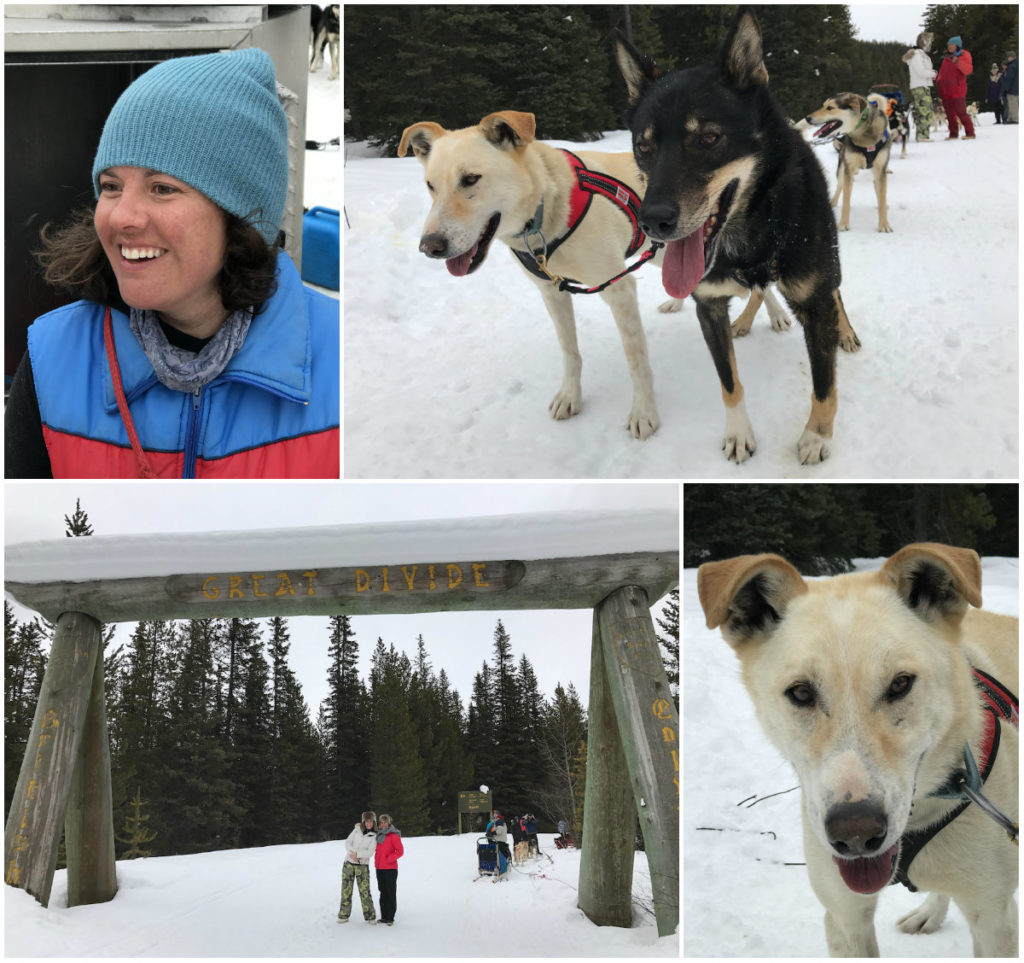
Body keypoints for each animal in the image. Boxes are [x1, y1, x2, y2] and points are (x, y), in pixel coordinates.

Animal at [610, 6, 860, 467]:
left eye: (709, 138)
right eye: (642, 147)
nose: (652, 221)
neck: (753, 232)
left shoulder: (815, 304)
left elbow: (823, 383)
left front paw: (817, 436)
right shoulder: (708, 308)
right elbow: (729, 383)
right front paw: (739, 432)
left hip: (826, 263)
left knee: (834, 292)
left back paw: (845, 332)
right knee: (758, 290)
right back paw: (745, 319)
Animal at [806, 91, 897, 233]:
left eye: (830, 108)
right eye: (823, 105)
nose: (807, 118)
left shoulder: (881, 169)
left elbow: (882, 198)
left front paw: (884, 224)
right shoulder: (848, 170)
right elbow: (846, 200)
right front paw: (843, 224)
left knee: (877, 187)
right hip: (842, 169)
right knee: (840, 186)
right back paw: (833, 201)